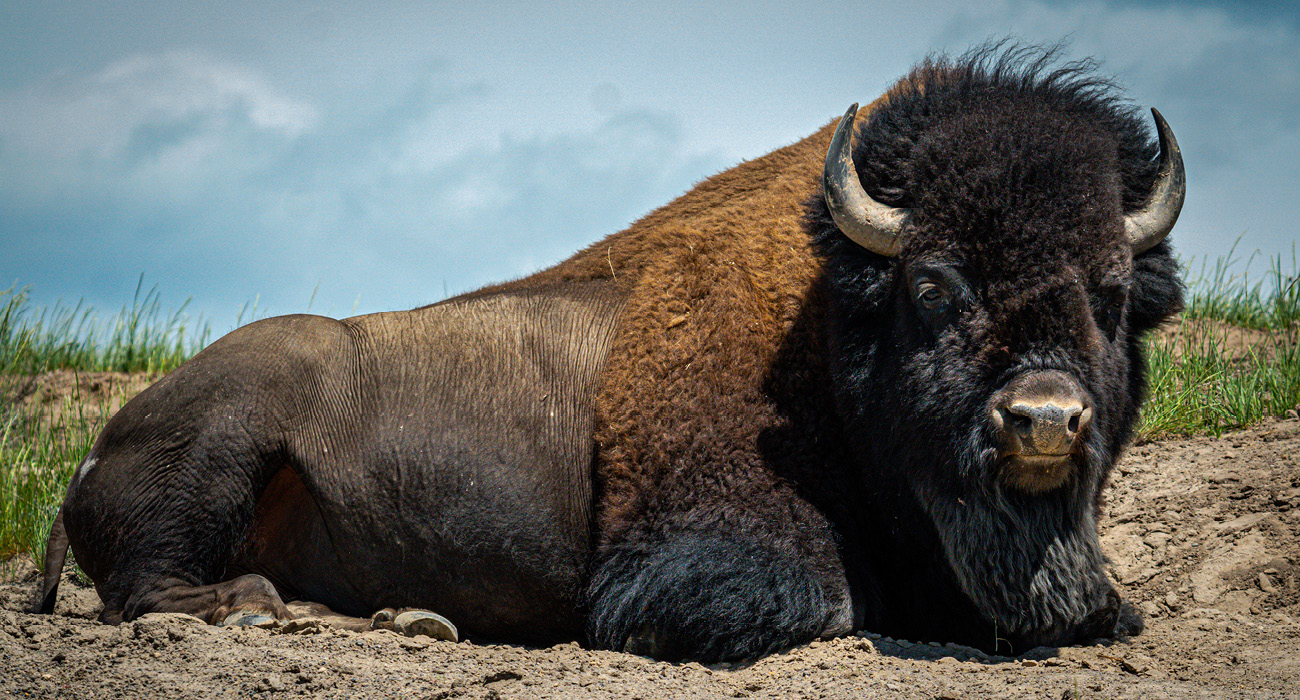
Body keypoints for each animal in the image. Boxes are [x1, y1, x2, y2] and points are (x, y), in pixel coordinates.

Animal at [36, 45, 1185, 662]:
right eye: (934, 284)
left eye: (1110, 293)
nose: (1043, 418)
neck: (825, 316)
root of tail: (97, 448)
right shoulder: (691, 562)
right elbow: (820, 602)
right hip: (230, 437)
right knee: (151, 590)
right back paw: (283, 610)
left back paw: (407, 617)